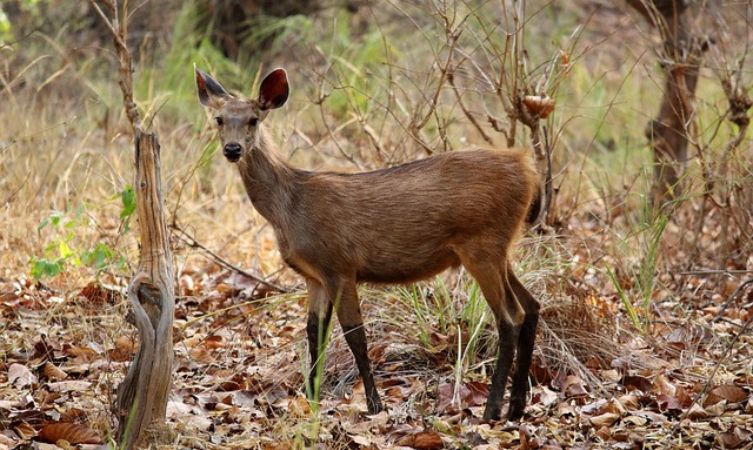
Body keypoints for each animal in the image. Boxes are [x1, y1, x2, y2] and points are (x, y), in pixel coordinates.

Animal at [195, 67, 541, 421]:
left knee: (510, 317)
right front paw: (311, 397)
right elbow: (314, 333)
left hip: (481, 244)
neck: (288, 209)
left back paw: (492, 408)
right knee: (532, 306)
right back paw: (516, 406)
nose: (232, 149)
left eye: (253, 119)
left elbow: (355, 335)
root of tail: (528, 168)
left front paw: (374, 404)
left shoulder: (339, 266)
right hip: (499, 248)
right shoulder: (314, 277)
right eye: (219, 119)